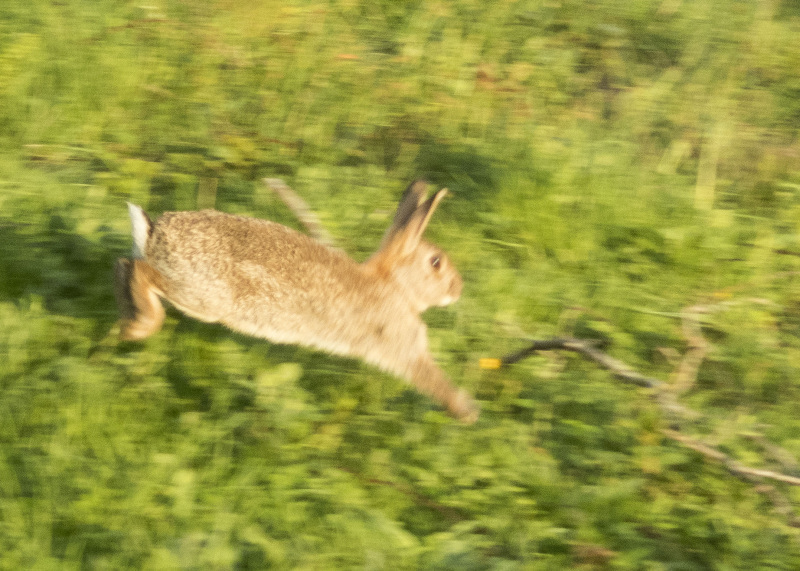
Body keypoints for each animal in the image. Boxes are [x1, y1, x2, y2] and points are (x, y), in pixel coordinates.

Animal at [115, 181, 478, 422]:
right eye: (436, 263)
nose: (458, 289)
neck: (394, 285)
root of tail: (154, 234)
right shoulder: (400, 348)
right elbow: (430, 377)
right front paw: (466, 411)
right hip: (201, 295)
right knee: (139, 271)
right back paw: (139, 327)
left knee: (123, 264)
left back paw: (123, 323)